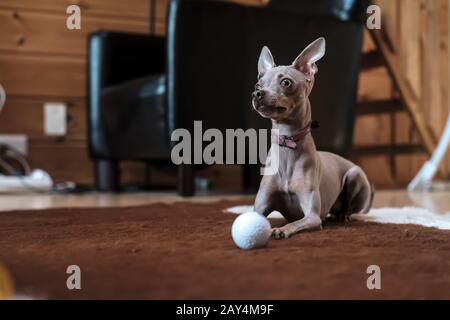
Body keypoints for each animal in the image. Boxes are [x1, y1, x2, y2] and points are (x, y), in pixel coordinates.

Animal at [253, 37, 372, 239]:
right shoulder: (258, 208)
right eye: (258, 85)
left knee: (347, 209)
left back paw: (343, 216)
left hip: (355, 175)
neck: (287, 143)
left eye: (286, 82)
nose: (257, 94)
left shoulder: (312, 217)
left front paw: (281, 229)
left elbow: (296, 223)